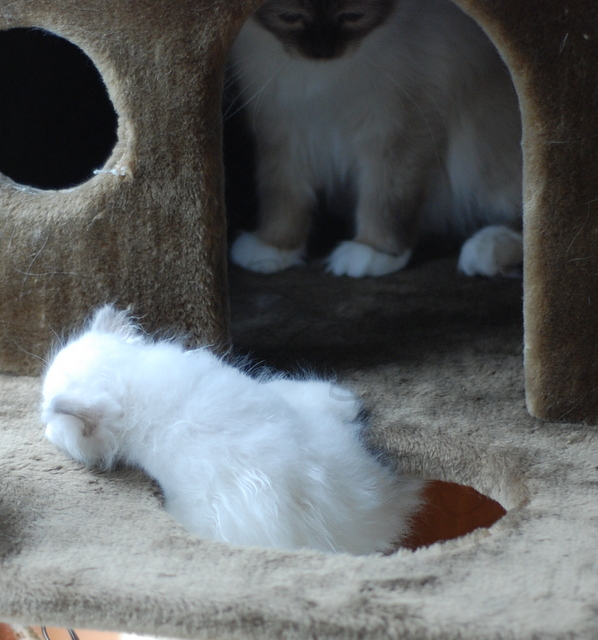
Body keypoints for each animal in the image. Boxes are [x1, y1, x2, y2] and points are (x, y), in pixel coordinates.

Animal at [227, 0, 524, 276]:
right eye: (289, 17)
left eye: (352, 16)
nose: (323, 51)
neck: (322, 78)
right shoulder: (281, 127)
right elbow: (281, 195)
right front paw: (272, 248)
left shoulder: (396, 125)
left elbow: (385, 195)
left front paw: (372, 250)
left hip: (481, 141)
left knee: (526, 211)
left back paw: (485, 250)